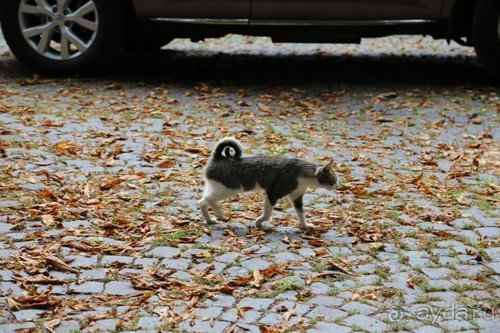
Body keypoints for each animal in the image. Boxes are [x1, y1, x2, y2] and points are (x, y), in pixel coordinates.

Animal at [197, 137, 338, 228]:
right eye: (334, 180)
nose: (337, 186)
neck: (304, 174)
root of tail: (219, 157)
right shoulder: (273, 193)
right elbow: (267, 213)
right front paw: (259, 222)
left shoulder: (297, 197)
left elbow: (301, 214)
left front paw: (306, 225)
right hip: (230, 189)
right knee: (208, 200)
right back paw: (220, 214)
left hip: (217, 188)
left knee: (202, 202)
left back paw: (210, 221)